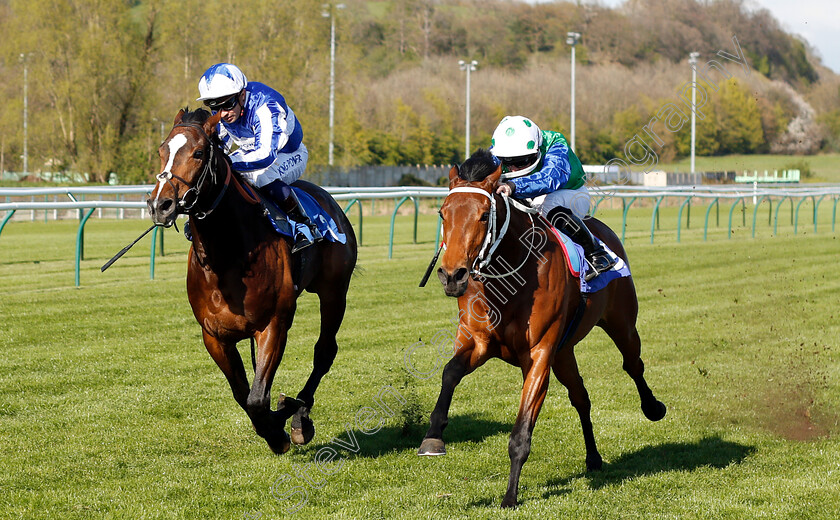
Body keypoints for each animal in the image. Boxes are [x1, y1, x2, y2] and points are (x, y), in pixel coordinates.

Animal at [146, 109, 356, 456]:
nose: (160, 205)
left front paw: (278, 431)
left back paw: (299, 418)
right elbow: (243, 394)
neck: (228, 255)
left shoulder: (273, 324)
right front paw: (271, 425)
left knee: (325, 351)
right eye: (162, 150)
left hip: (334, 292)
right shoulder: (214, 335)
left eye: (199, 153)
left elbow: (258, 398)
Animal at [416, 149, 668, 508]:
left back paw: (653, 407)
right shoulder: (478, 342)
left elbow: (521, 433)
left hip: (620, 324)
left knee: (633, 364)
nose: (453, 276)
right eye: (442, 213)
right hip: (564, 352)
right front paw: (433, 437)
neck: (509, 278)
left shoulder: (539, 355)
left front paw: (510, 497)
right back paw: (593, 458)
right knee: (581, 397)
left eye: (483, 216)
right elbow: (449, 372)